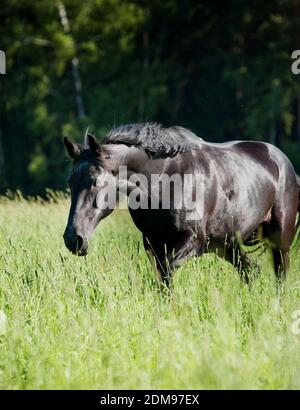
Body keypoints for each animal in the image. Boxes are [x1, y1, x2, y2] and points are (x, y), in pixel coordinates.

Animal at [63, 123, 300, 284]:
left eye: (95, 181)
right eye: (70, 181)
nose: (73, 239)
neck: (164, 181)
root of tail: (284, 163)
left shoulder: (194, 241)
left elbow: (167, 271)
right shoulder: (153, 243)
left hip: (280, 240)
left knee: (280, 275)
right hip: (228, 243)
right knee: (250, 271)